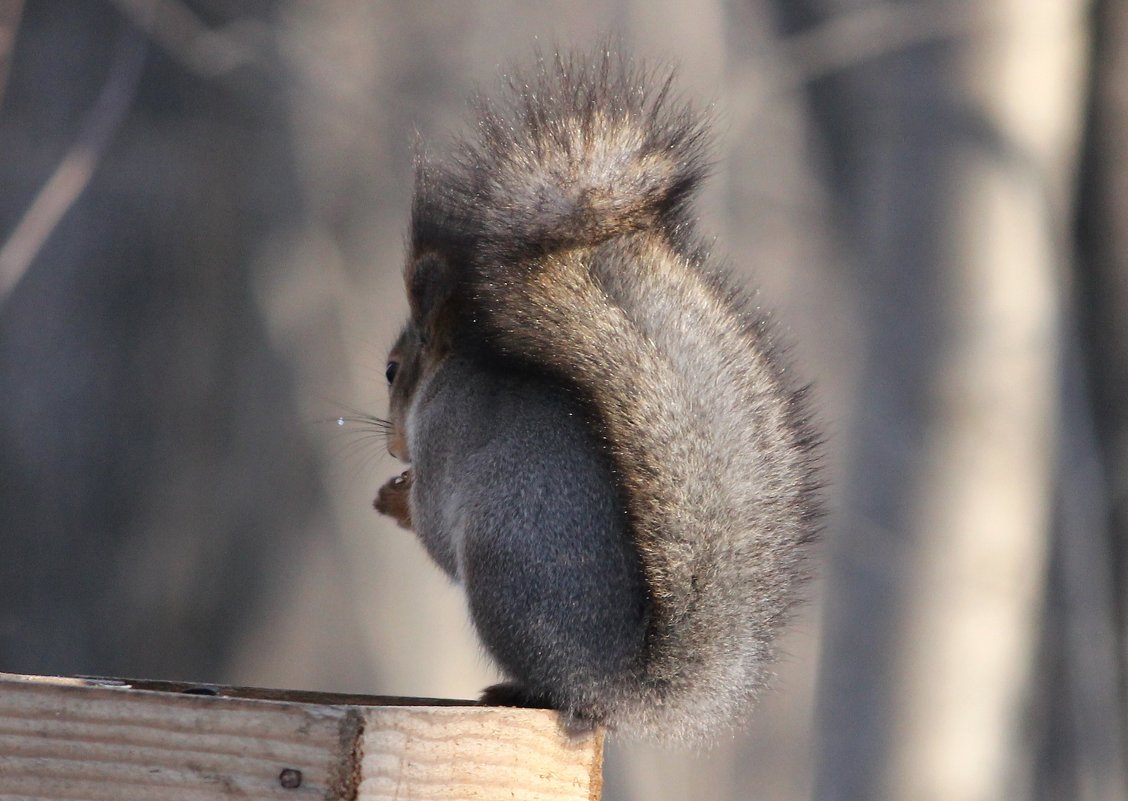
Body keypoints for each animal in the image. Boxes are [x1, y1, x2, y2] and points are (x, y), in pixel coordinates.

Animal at [374, 50, 825, 744]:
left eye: (392, 371)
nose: (393, 444)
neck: (447, 373)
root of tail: (626, 690)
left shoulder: (446, 437)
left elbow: (430, 527)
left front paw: (395, 498)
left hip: (503, 574)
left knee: (563, 696)